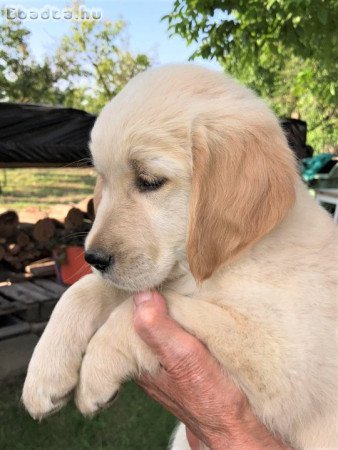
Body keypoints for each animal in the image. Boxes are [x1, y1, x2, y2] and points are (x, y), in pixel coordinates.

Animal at [23, 64, 338, 450]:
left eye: (149, 181)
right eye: (104, 181)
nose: (93, 258)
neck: (230, 261)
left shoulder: (279, 363)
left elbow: (156, 311)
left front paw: (96, 370)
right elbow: (81, 291)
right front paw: (44, 374)